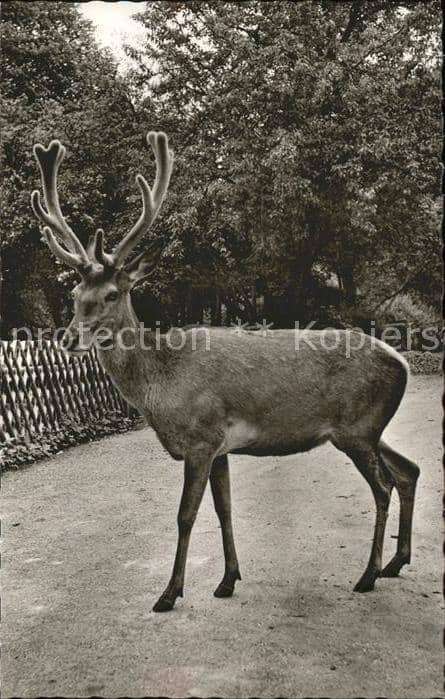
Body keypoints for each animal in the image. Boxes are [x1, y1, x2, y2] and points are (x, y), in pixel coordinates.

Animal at [31, 131, 420, 613]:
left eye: (111, 294)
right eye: (73, 292)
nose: (69, 339)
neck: (161, 386)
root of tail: (403, 363)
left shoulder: (201, 437)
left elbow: (185, 514)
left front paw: (169, 593)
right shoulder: (220, 448)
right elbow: (225, 508)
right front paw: (228, 580)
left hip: (356, 428)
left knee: (383, 487)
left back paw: (367, 575)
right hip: (369, 429)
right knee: (409, 471)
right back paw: (395, 563)